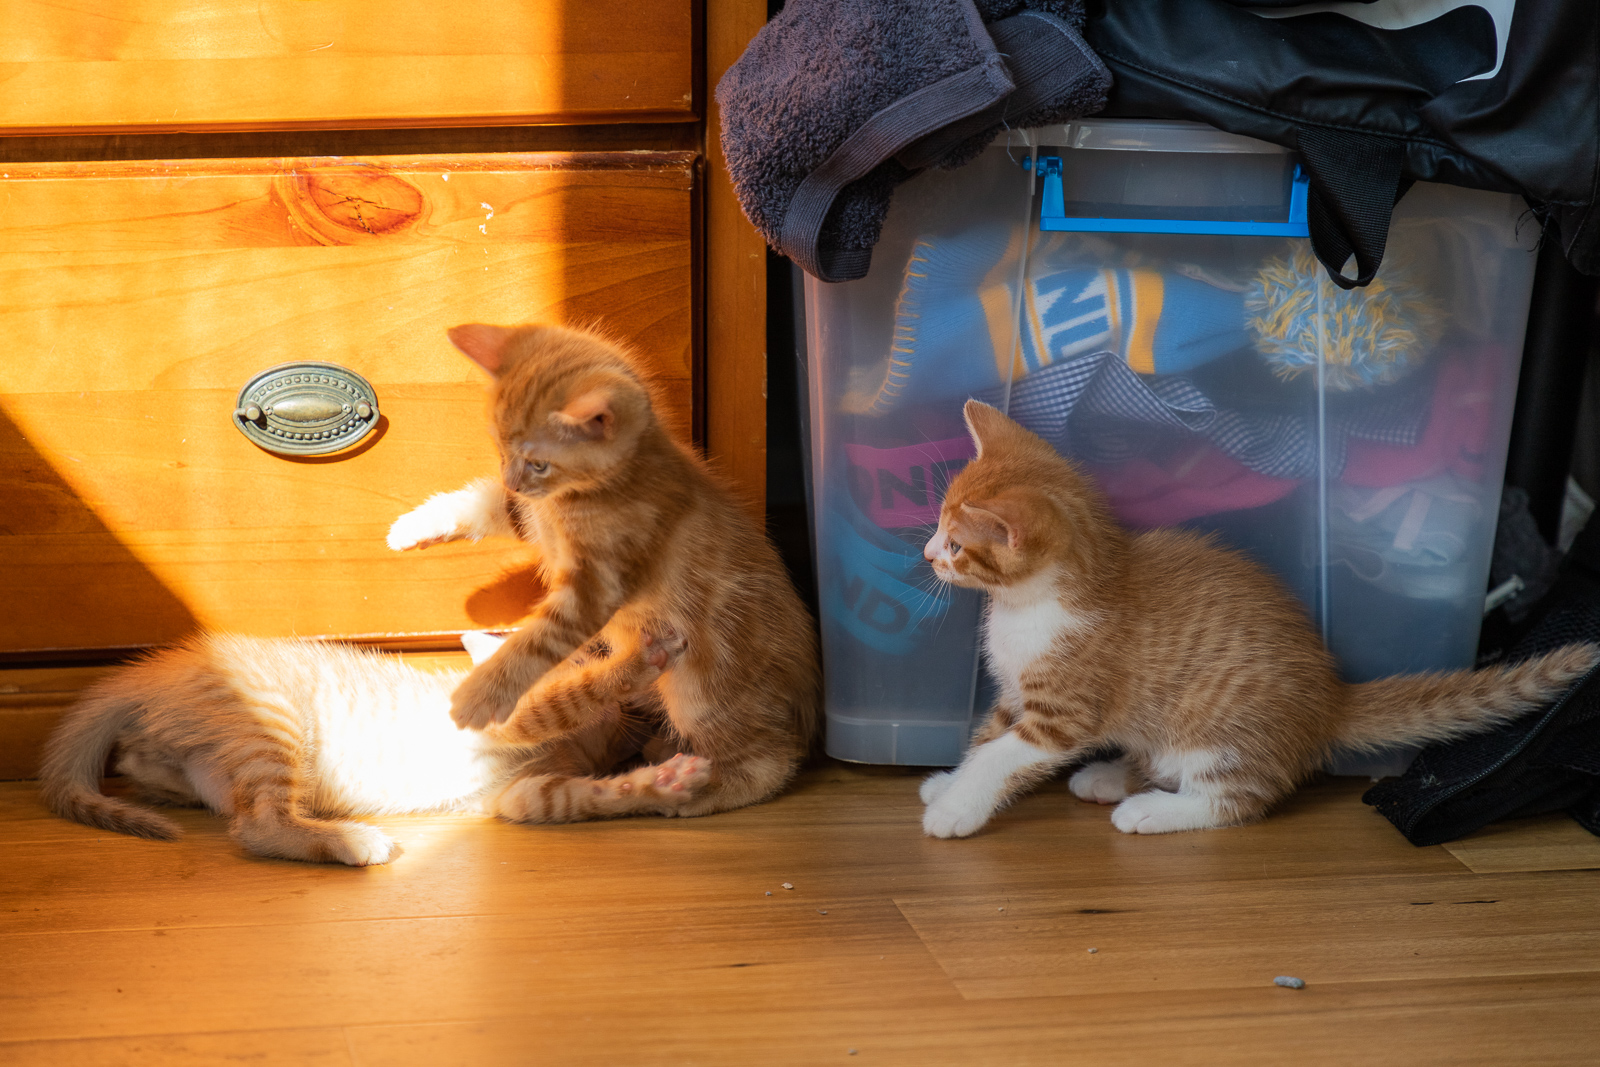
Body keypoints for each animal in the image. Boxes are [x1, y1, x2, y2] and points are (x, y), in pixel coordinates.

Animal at [38, 627, 694, 865]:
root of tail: (150, 670)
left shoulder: (521, 794)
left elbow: (577, 797)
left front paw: (663, 781)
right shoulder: (507, 719)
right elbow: (571, 698)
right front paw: (644, 661)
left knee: (151, 766)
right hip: (270, 721)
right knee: (256, 827)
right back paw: (349, 842)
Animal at [386, 322, 820, 823]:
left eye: (539, 463)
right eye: (500, 448)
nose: (514, 478)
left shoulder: (596, 586)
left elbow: (538, 641)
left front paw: (481, 694)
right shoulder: (531, 515)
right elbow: (490, 504)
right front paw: (414, 526)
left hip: (699, 693)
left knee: (769, 762)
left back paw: (692, 791)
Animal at [918, 400, 1600, 838]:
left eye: (954, 543)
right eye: (938, 528)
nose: (924, 553)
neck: (1029, 604)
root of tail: (1330, 697)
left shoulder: (1063, 712)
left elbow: (1002, 757)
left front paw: (956, 809)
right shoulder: (1014, 695)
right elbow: (986, 738)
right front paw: (948, 782)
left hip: (1218, 728)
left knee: (1238, 801)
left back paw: (1151, 810)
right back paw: (1113, 776)